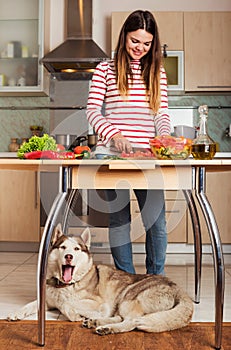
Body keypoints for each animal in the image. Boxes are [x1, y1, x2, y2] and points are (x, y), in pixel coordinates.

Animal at [7, 224, 194, 336]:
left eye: (77, 249)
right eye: (62, 247)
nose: (69, 256)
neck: (66, 285)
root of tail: (180, 290)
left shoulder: (99, 305)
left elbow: (68, 303)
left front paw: (73, 314)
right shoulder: (47, 301)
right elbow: (30, 305)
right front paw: (15, 313)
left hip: (128, 297)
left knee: (131, 322)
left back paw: (105, 327)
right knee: (121, 318)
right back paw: (96, 322)